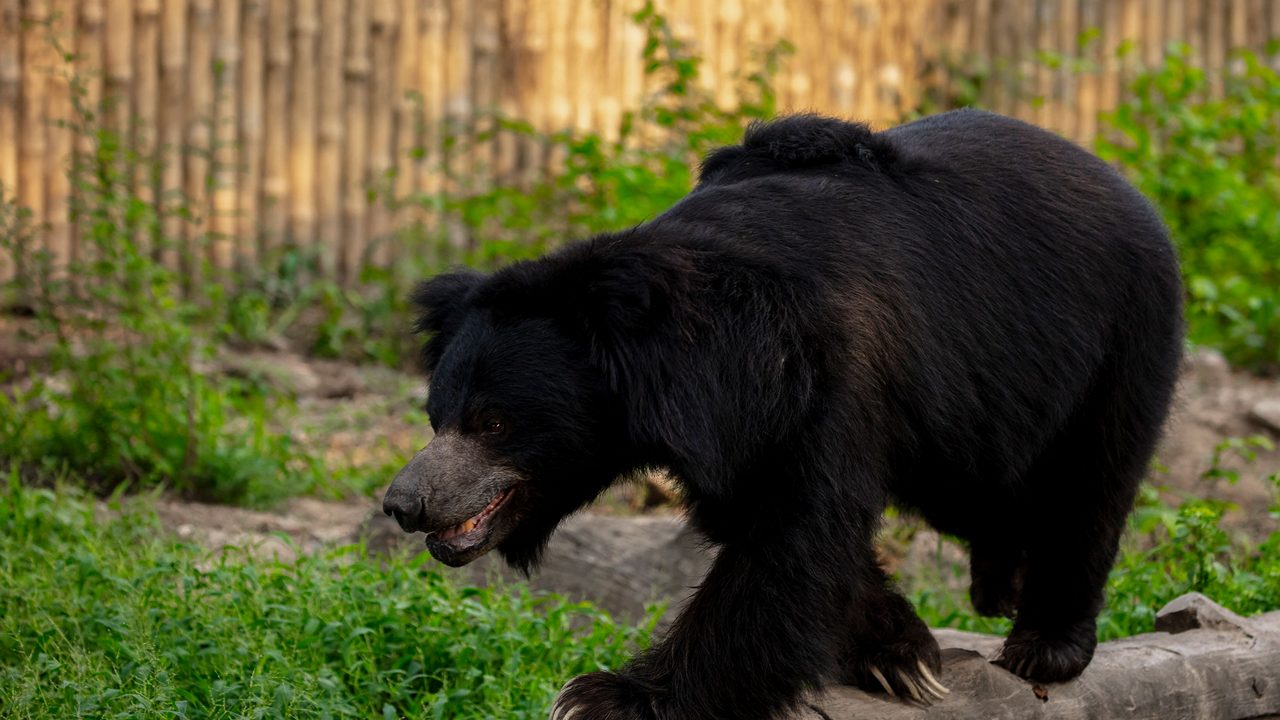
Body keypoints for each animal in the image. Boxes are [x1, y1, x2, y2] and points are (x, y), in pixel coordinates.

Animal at [378, 107, 1177, 717]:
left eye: (494, 423)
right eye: (438, 415)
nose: (404, 504)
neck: (695, 359)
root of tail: (1124, 183)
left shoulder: (821, 373)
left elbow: (791, 537)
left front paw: (609, 696)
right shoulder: (740, 417)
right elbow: (769, 519)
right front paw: (902, 652)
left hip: (1114, 335)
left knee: (1090, 481)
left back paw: (1045, 642)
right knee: (989, 486)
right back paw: (996, 582)